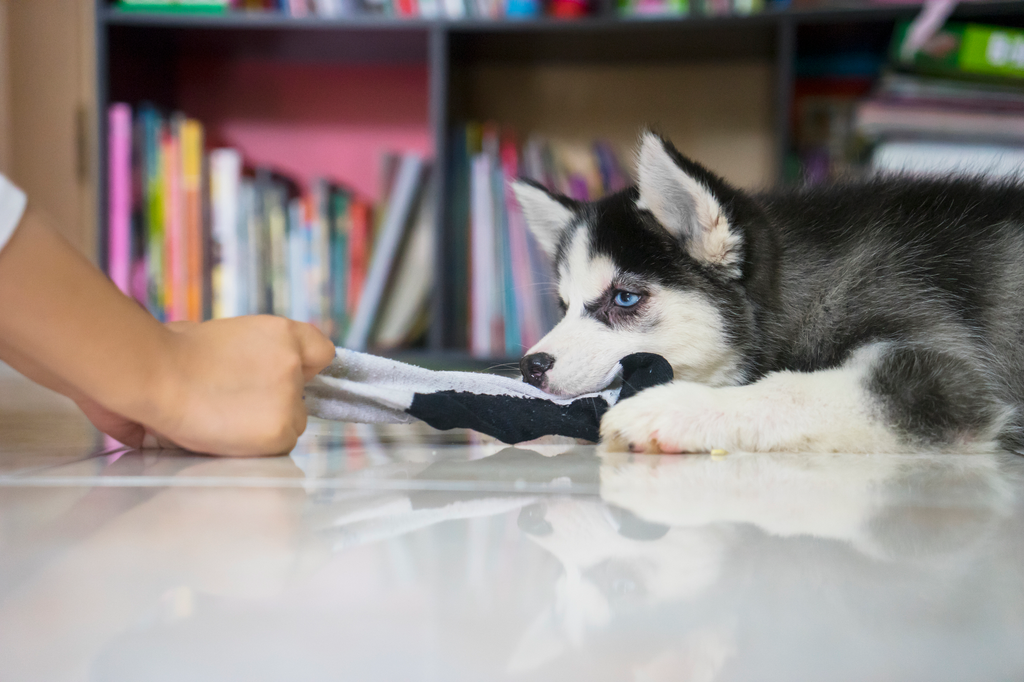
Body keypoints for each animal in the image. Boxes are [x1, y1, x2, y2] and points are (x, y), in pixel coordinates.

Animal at [516, 130, 1024, 454]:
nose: (530, 366)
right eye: (563, 306)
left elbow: (789, 389)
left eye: (624, 298)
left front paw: (676, 408)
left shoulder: (942, 373)